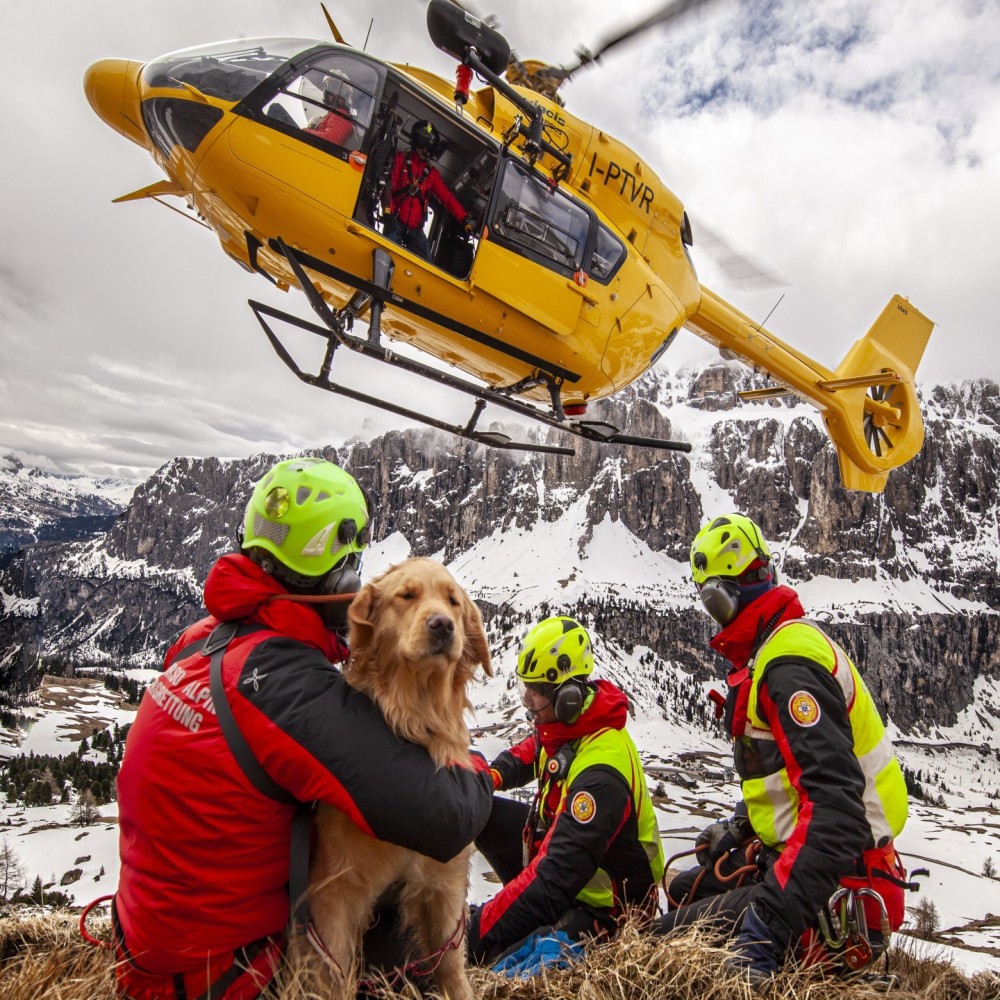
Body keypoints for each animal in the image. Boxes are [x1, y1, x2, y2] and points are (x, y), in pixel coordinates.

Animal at [304, 560, 492, 1000]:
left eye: (453, 601)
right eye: (406, 596)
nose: (443, 626)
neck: (417, 720)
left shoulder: (444, 884)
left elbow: (452, 969)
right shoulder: (336, 891)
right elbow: (332, 974)